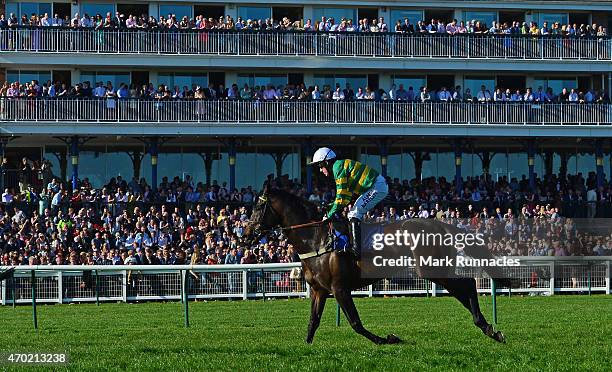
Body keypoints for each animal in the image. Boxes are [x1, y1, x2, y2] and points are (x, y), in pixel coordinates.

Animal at [241, 185, 510, 344]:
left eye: (258, 206)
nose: (246, 234)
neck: (315, 239)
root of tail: (440, 223)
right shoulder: (319, 290)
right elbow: (312, 323)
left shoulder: (339, 288)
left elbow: (355, 323)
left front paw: (388, 339)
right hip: (437, 268)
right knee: (464, 289)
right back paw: (488, 328)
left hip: (432, 268)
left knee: (468, 284)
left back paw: (488, 328)